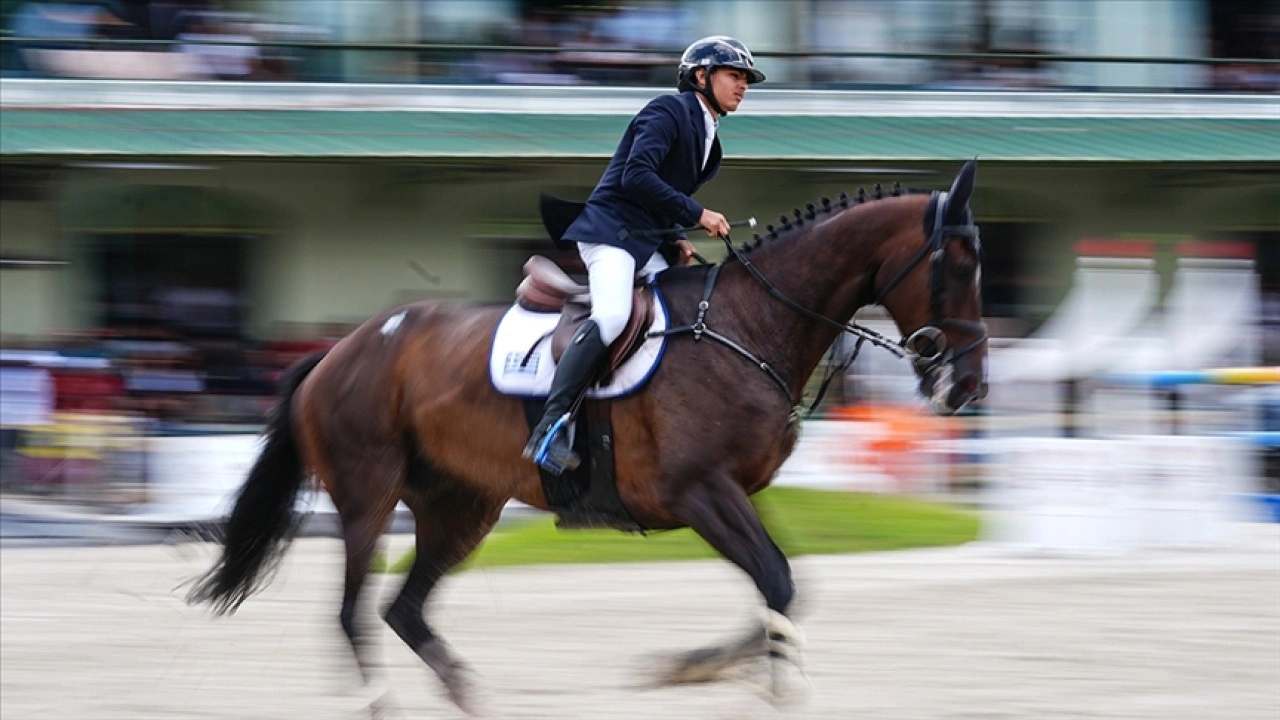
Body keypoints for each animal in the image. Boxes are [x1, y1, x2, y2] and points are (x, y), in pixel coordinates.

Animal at [185, 158, 983, 712]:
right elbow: (778, 582)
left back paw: (472, 701)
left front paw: (694, 667)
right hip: (368, 497)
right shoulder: (700, 492)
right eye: (959, 268)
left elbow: (783, 588)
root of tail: (333, 352)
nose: (968, 387)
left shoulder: (740, 492)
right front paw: (754, 681)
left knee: (402, 610)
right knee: (354, 615)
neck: (750, 324)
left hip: (459, 507)